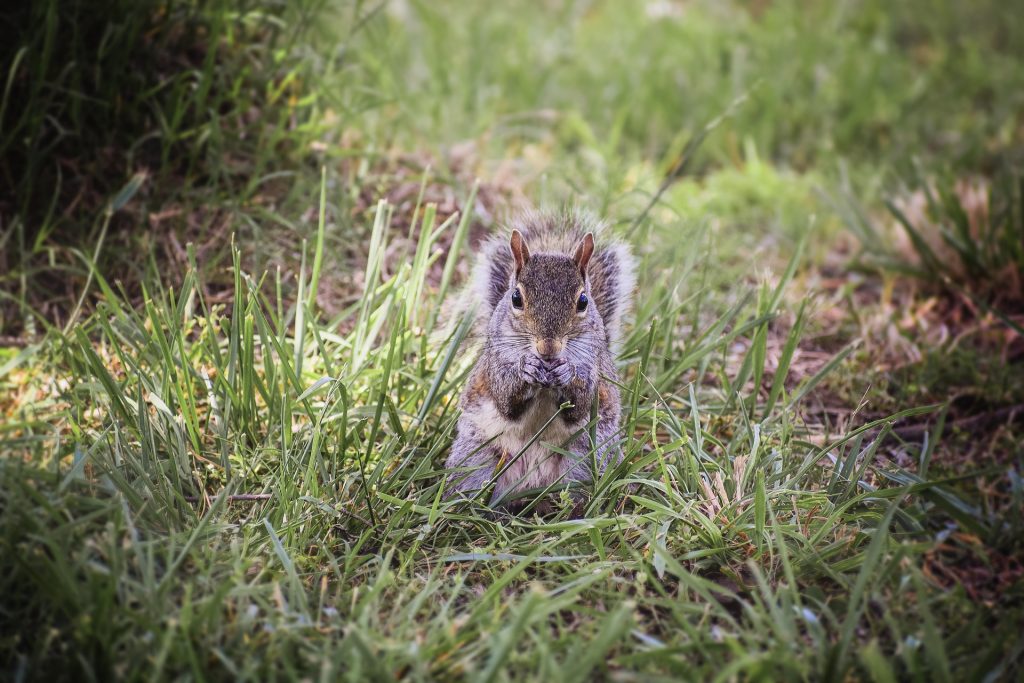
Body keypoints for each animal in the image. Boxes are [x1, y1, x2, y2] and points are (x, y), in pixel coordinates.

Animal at [444, 209, 636, 511]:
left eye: (583, 301)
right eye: (515, 298)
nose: (548, 348)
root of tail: (530, 488)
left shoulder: (593, 364)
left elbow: (581, 403)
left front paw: (567, 373)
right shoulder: (495, 361)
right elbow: (505, 398)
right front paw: (526, 369)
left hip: (587, 460)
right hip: (475, 459)